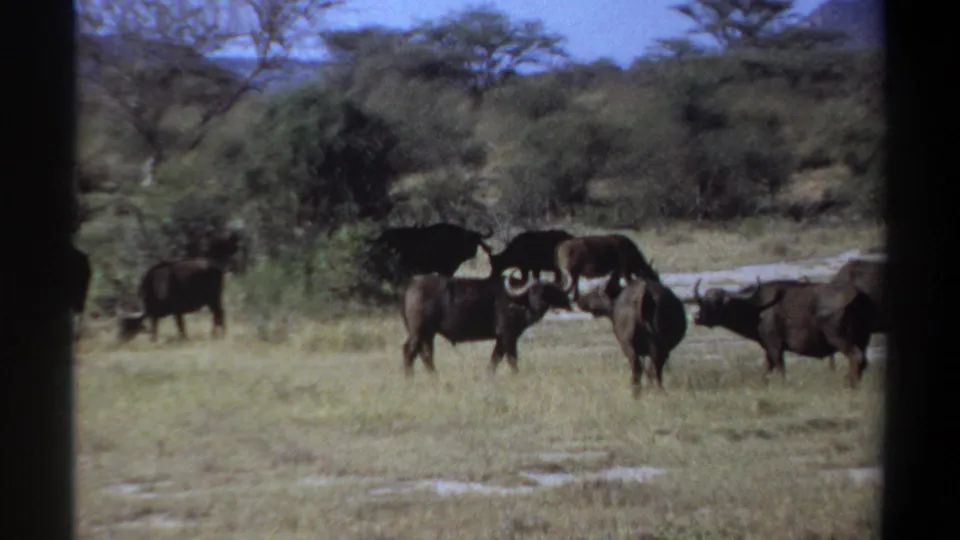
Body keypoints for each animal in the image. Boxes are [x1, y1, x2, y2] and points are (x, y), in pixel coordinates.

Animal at [400, 270, 573, 376]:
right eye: (532, 291)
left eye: (548, 291)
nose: (540, 304)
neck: (518, 301)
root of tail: (412, 285)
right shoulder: (508, 335)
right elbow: (511, 358)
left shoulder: (501, 338)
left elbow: (495, 358)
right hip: (419, 331)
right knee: (410, 350)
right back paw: (409, 376)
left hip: (428, 333)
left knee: (426, 354)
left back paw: (434, 375)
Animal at [692, 278, 875, 388]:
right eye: (703, 301)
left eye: (717, 302)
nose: (696, 317)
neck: (756, 308)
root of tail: (858, 295)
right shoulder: (767, 347)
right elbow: (767, 367)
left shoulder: (774, 345)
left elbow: (779, 367)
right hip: (863, 339)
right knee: (863, 360)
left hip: (840, 338)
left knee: (856, 357)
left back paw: (850, 383)